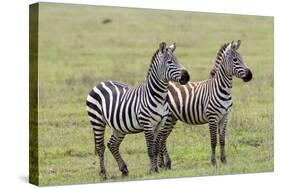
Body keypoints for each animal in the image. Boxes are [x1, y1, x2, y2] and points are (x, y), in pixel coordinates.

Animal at [86, 41, 190, 178]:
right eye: (170, 62)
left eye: (178, 60)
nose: (186, 77)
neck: (159, 97)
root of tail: (100, 83)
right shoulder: (147, 124)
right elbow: (151, 149)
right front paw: (153, 170)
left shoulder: (160, 124)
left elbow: (156, 148)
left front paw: (156, 168)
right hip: (97, 121)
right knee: (100, 147)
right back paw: (103, 173)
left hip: (119, 126)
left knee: (112, 144)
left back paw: (124, 169)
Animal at [155, 40, 252, 168]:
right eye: (235, 60)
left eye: (242, 58)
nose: (250, 75)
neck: (222, 89)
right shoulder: (212, 118)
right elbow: (213, 141)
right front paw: (213, 162)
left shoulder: (224, 117)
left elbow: (222, 140)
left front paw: (224, 160)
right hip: (167, 119)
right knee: (160, 139)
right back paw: (162, 164)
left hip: (172, 118)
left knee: (163, 139)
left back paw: (166, 164)